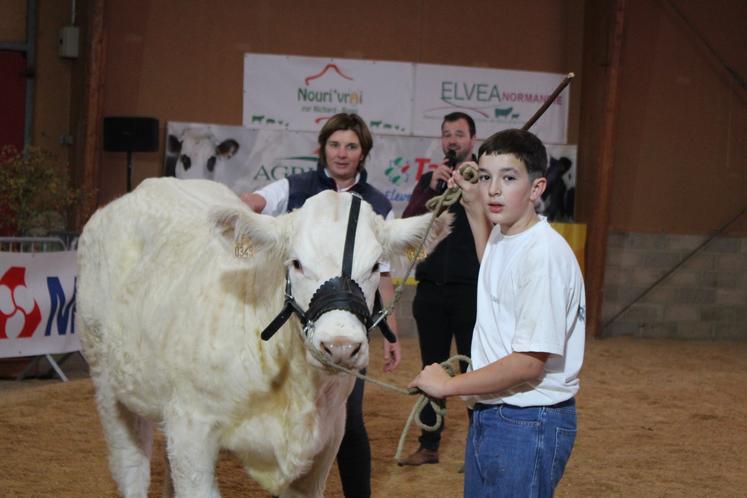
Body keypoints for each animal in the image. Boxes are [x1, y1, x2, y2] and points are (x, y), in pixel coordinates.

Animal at [76, 179, 450, 498]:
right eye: (296, 263)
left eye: (375, 266)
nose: (340, 346)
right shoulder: (192, 429)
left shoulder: (327, 441)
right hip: (108, 383)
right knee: (131, 466)